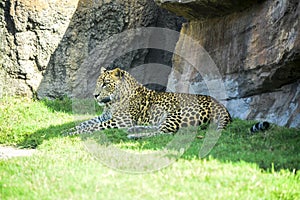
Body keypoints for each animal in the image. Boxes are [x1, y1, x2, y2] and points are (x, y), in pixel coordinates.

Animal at [67, 67, 232, 139]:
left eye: (106, 84)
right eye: (98, 83)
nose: (94, 95)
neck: (111, 103)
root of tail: (221, 105)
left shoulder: (121, 120)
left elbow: (94, 127)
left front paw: (74, 133)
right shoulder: (104, 116)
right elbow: (85, 123)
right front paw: (69, 130)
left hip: (175, 114)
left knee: (163, 132)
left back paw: (134, 135)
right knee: (158, 127)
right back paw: (135, 130)